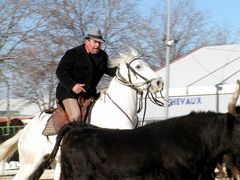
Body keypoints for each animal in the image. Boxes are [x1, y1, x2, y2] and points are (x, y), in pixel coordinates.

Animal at [0, 46, 164, 180]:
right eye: (138, 66)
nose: (159, 83)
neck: (116, 109)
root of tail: (25, 129)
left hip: (52, 163)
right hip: (30, 164)